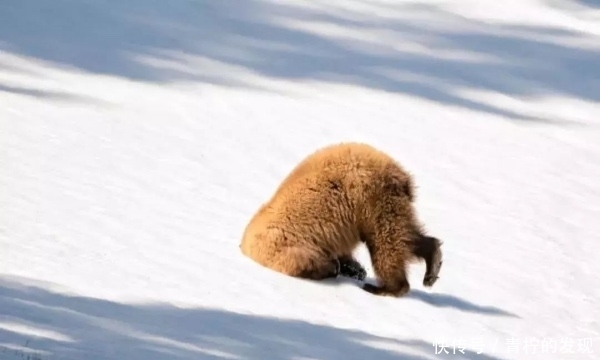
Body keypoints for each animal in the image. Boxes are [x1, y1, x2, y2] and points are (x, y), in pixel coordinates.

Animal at [238, 142, 440, 296]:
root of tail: (399, 174)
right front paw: (354, 269)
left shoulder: (285, 245)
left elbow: (305, 261)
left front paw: (335, 268)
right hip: (388, 203)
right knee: (404, 234)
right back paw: (432, 263)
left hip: (370, 200)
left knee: (385, 243)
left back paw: (385, 287)